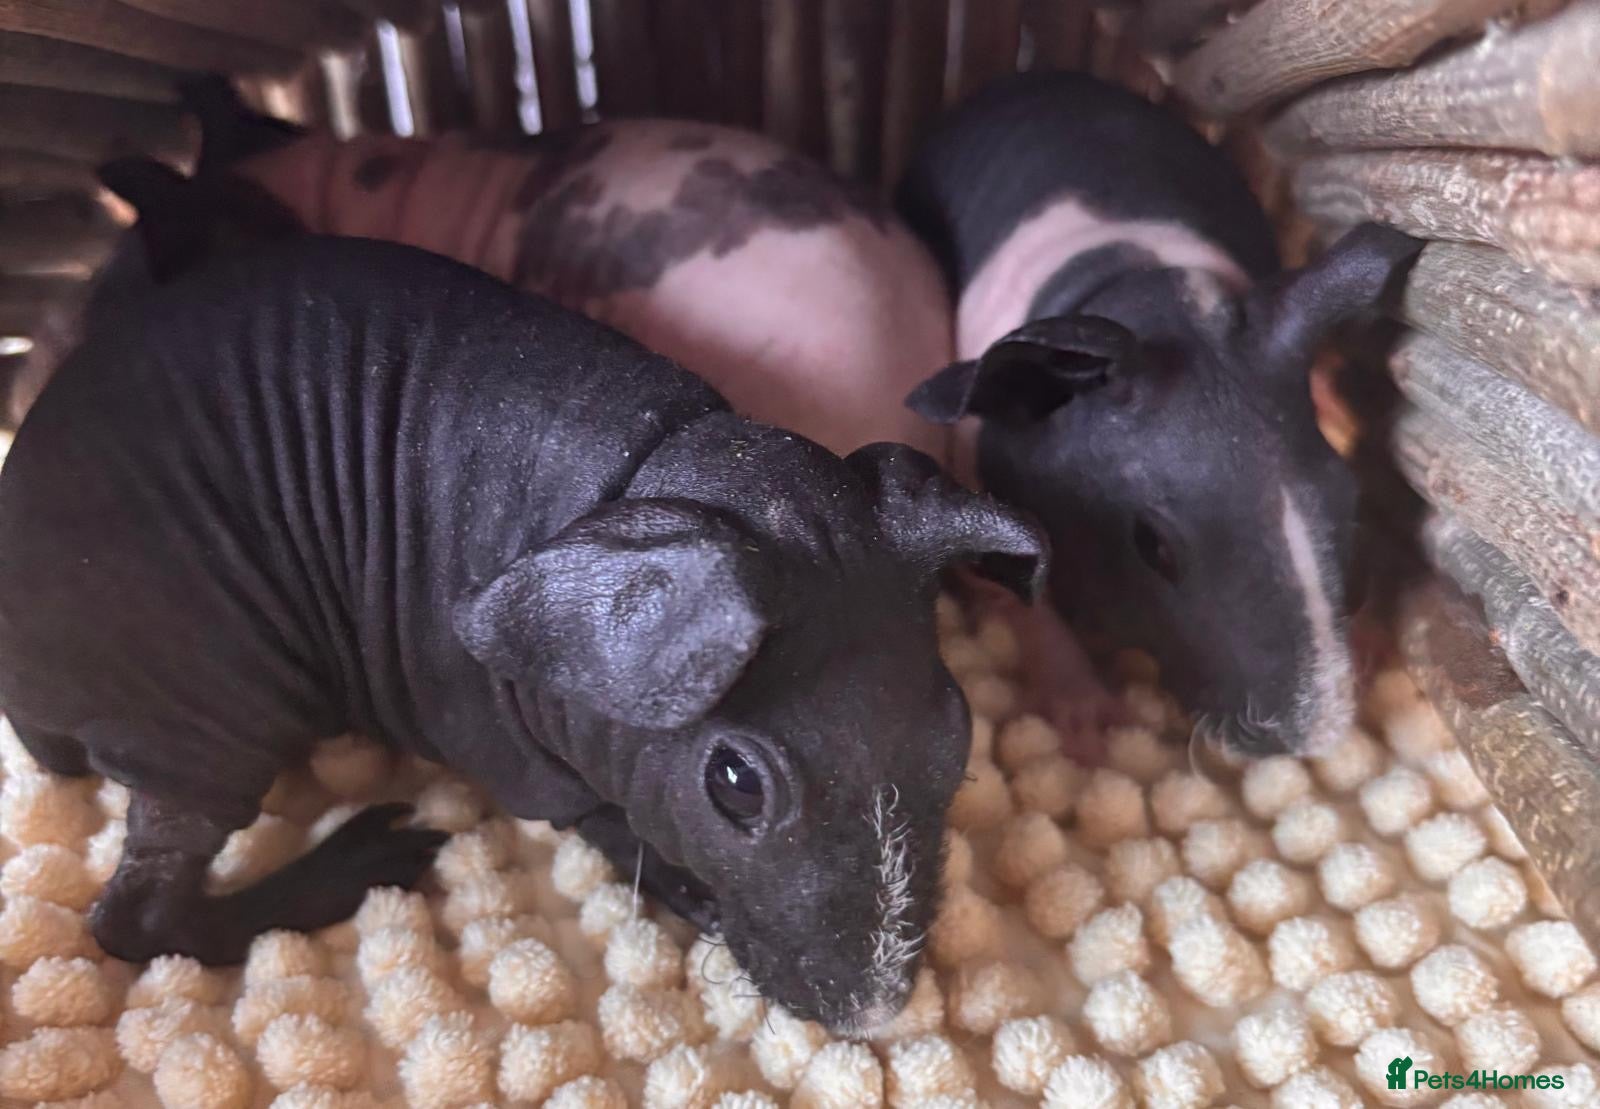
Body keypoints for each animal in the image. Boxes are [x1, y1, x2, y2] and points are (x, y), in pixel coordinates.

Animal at [0, 233, 1046, 1033]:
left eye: (957, 736)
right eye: (736, 785)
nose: (881, 1017)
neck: (649, 469)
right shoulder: (493, 724)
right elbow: (585, 809)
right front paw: (679, 881)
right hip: (218, 696)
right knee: (131, 919)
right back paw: (345, 867)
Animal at [897, 72, 1423, 756]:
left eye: (1349, 499)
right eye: (1153, 547)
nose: (1314, 739)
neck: (1150, 288)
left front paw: (1373, 641)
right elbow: (1020, 593)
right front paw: (1086, 721)